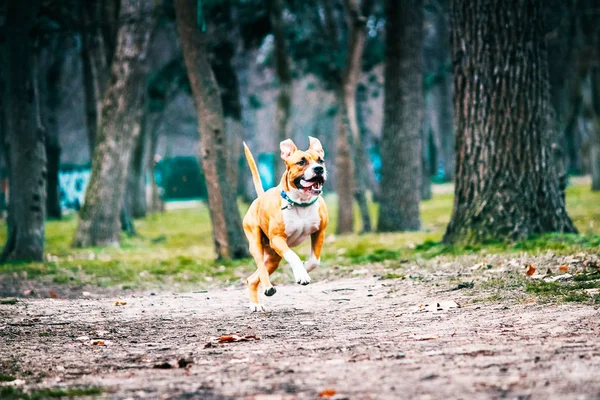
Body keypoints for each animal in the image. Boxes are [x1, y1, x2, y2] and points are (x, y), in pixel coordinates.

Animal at [243, 136, 328, 310]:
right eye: (301, 162)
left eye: (321, 160)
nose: (318, 169)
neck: (301, 203)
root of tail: (260, 198)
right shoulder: (278, 239)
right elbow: (293, 256)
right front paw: (301, 274)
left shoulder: (319, 231)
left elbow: (314, 260)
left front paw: (304, 268)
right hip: (256, 243)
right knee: (261, 268)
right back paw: (268, 288)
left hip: (273, 259)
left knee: (252, 278)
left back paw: (255, 304)